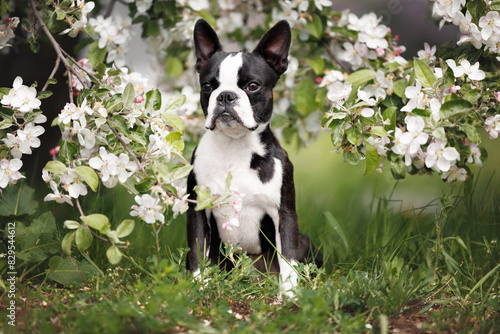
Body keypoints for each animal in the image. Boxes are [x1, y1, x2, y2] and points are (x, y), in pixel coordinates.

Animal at [186, 18, 322, 298]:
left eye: (252, 86)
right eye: (207, 87)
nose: (226, 95)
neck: (234, 146)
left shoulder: (284, 213)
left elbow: (288, 256)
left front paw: (289, 295)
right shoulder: (197, 209)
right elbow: (196, 252)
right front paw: (198, 288)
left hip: (306, 241)